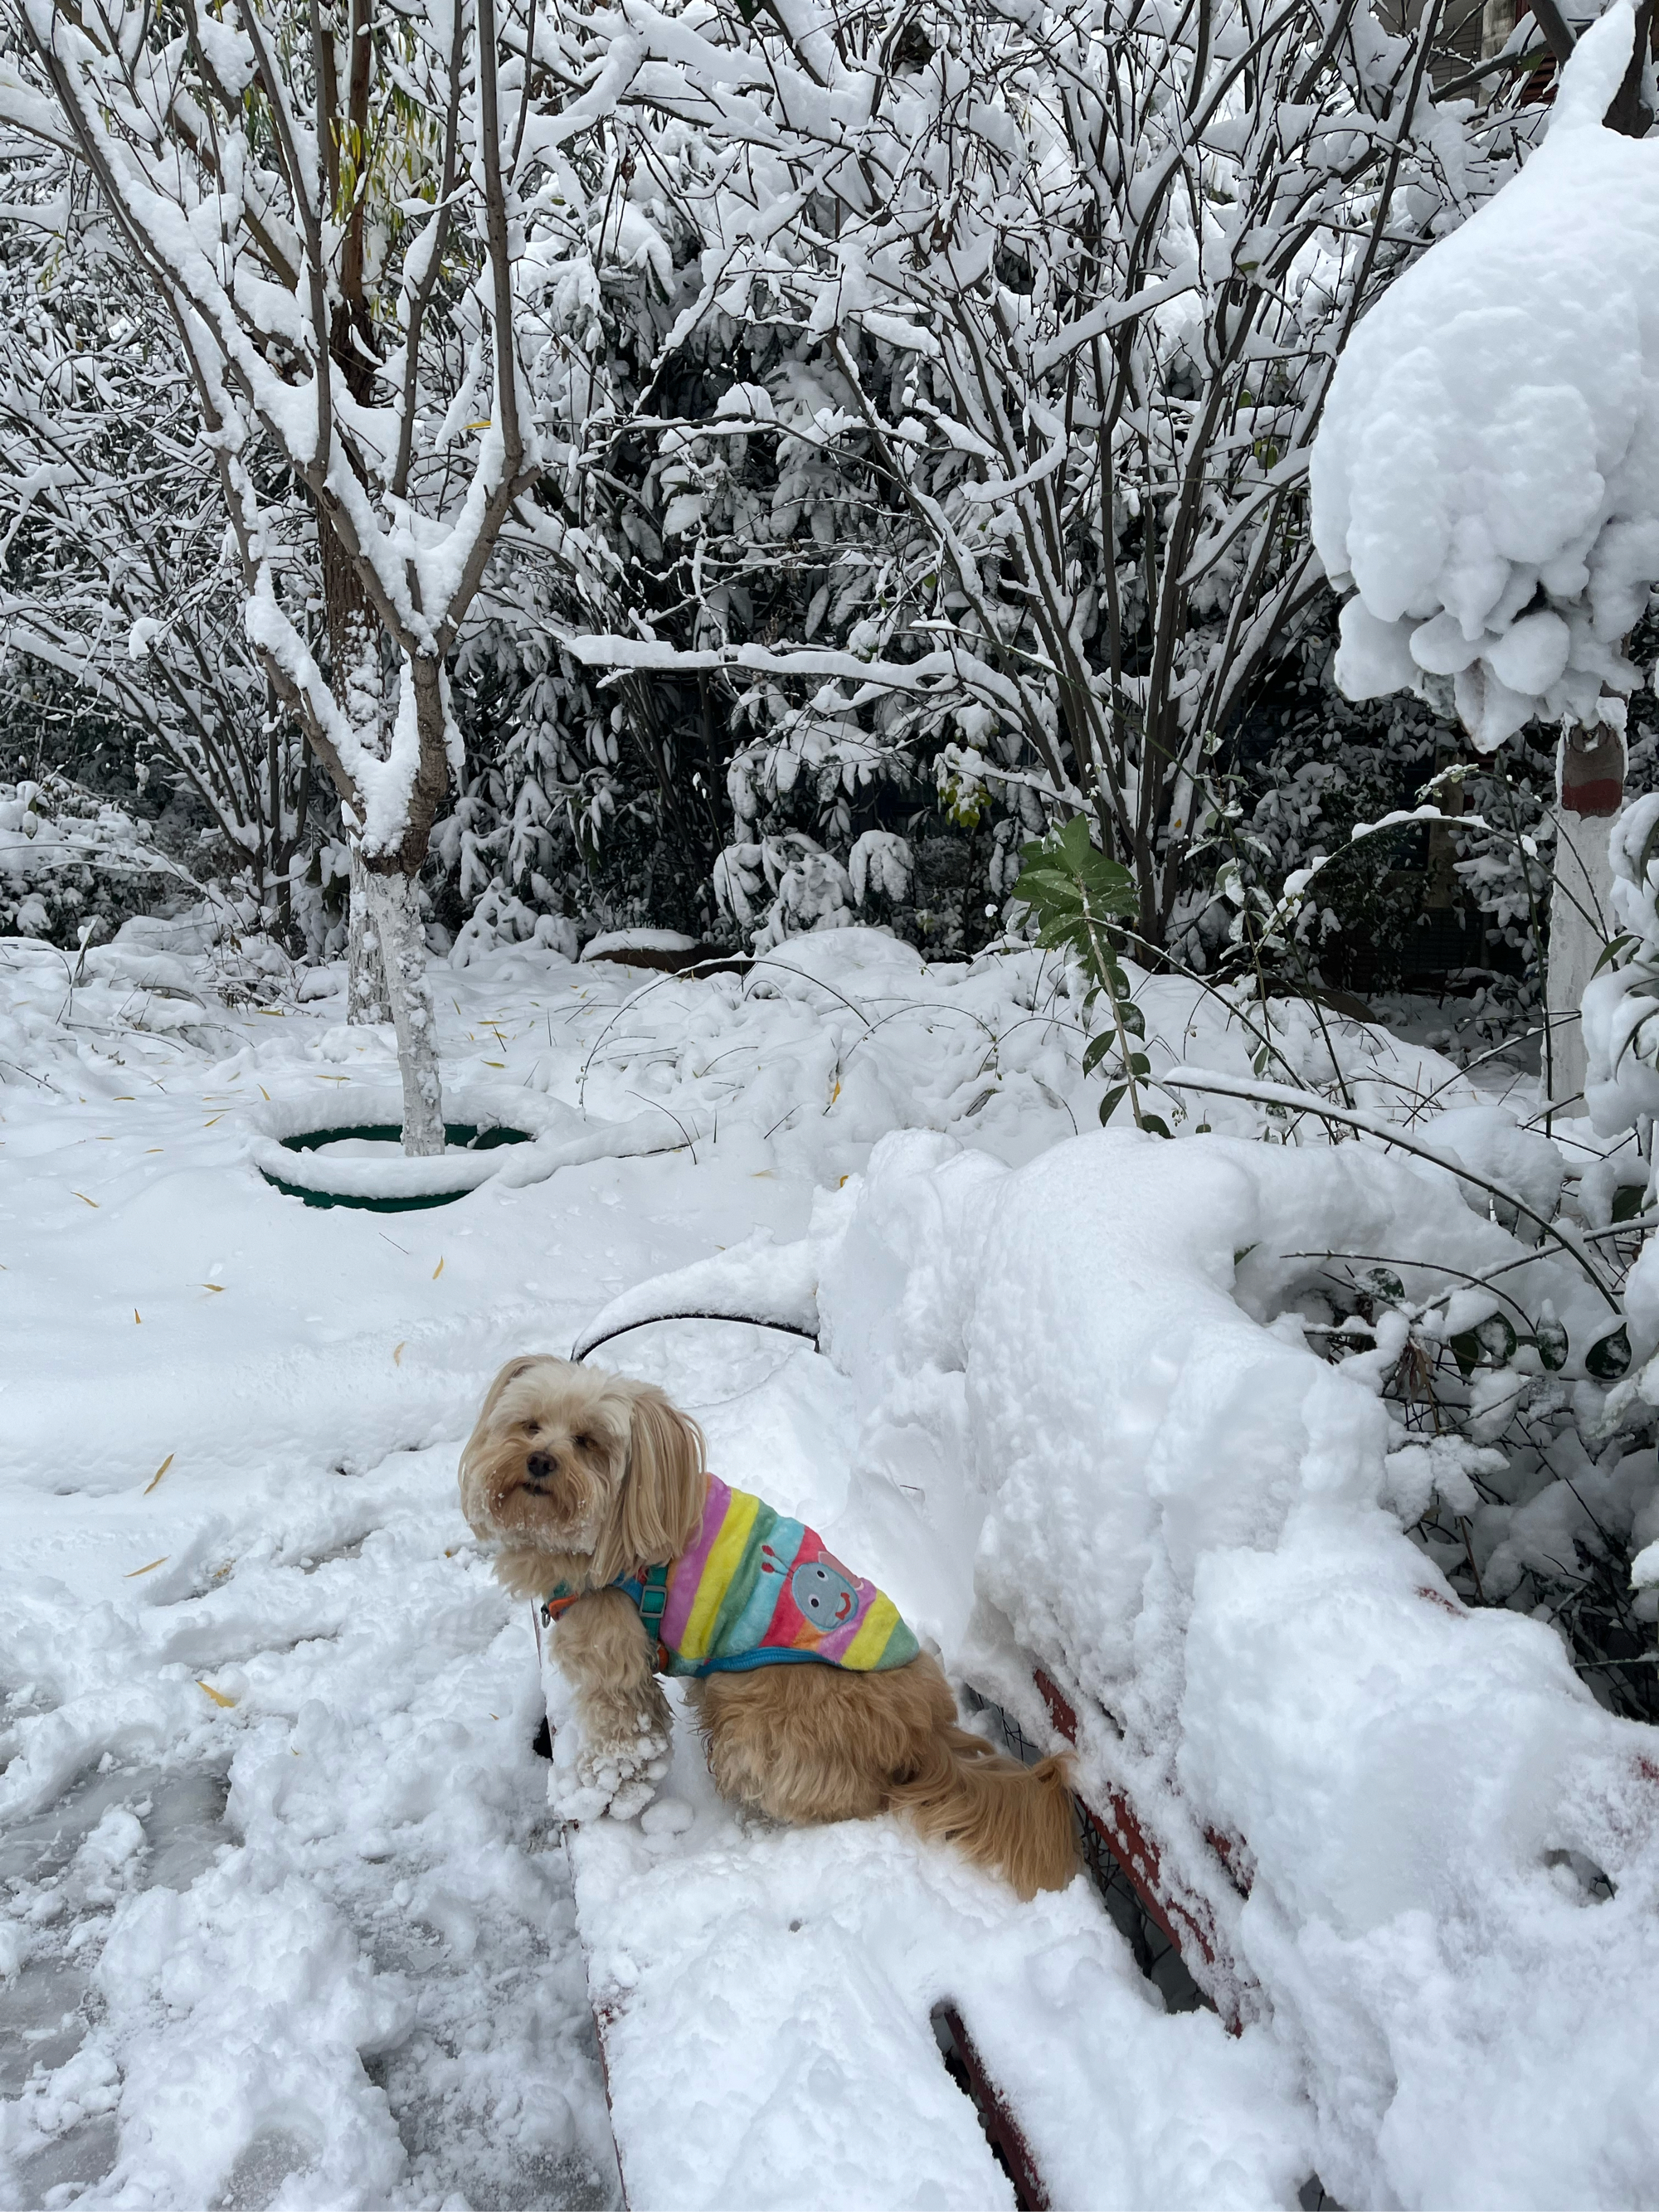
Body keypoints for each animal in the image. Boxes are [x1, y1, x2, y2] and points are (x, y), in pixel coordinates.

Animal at [458, 1344, 1079, 1902]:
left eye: (589, 1441)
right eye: (530, 1425)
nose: (539, 1460)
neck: (624, 1527)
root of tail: (928, 1736)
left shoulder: (616, 1662)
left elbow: (625, 1742)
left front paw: (599, 1795)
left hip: (751, 1703)